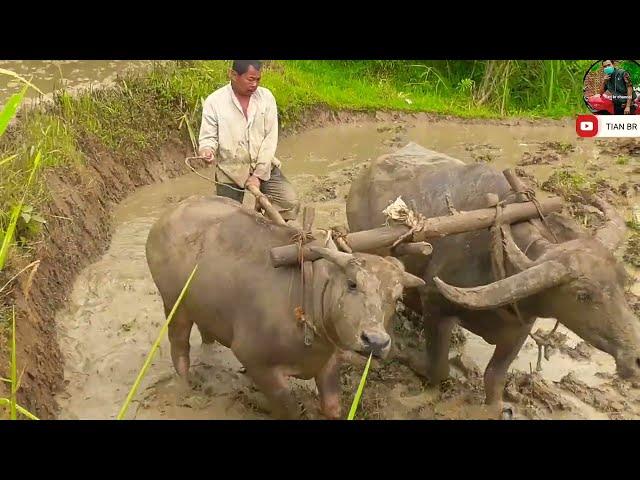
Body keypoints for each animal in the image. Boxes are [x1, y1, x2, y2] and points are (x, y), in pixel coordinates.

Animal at [146, 195, 424, 420]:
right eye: (352, 283)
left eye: (397, 296)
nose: (375, 341)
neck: (307, 299)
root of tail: (166, 217)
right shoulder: (256, 362)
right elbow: (288, 409)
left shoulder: (328, 360)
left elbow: (332, 407)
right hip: (174, 305)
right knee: (179, 346)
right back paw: (186, 386)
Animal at [348, 142, 640, 408]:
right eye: (582, 295)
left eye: (623, 281)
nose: (635, 357)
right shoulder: (435, 305)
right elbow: (439, 368)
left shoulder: (520, 327)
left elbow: (494, 377)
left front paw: (495, 406)